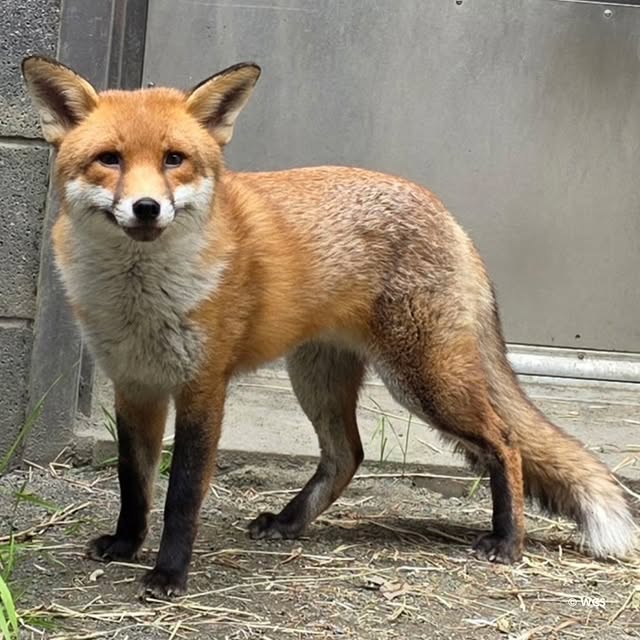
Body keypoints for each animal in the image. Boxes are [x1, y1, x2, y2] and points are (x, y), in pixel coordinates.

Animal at [22, 55, 636, 598]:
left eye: (175, 159)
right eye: (109, 159)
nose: (147, 208)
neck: (139, 301)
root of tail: (446, 213)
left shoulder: (204, 388)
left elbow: (181, 498)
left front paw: (170, 574)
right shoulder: (135, 385)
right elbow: (133, 482)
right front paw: (126, 545)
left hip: (424, 381)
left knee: (504, 441)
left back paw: (508, 541)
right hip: (317, 378)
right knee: (348, 455)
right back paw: (290, 523)